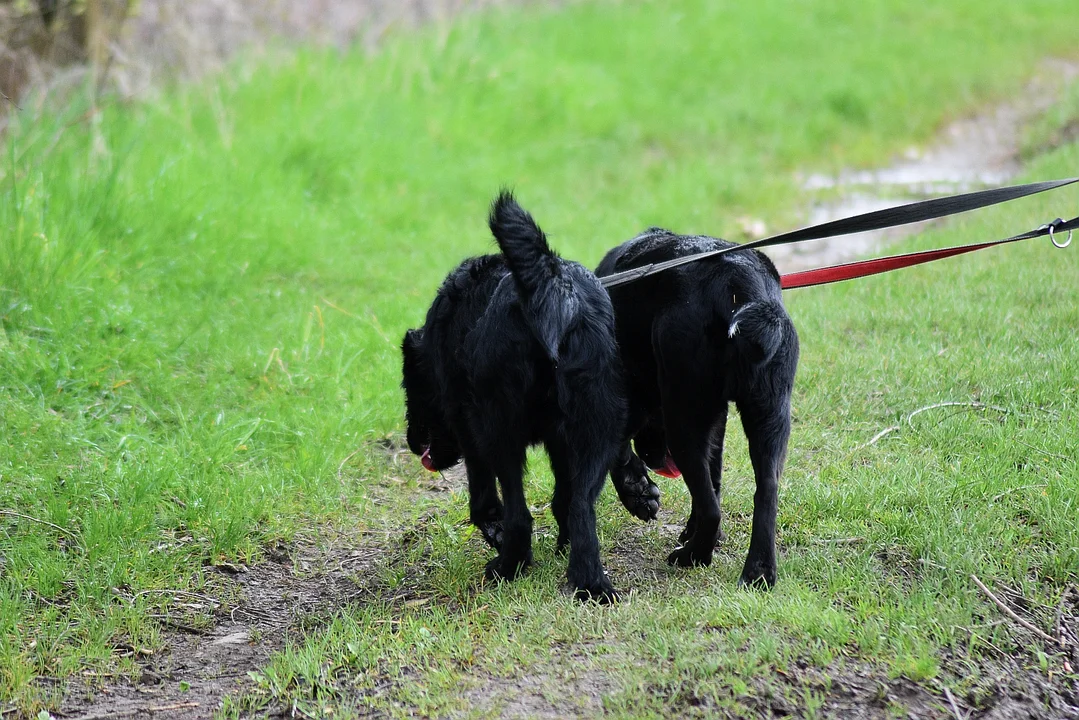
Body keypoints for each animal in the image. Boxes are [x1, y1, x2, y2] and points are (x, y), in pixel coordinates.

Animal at [403, 191, 630, 604]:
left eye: (409, 387)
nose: (412, 442)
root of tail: (547, 282)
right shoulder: (561, 441)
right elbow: (564, 498)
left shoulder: (469, 429)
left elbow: (483, 500)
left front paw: (494, 531)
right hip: (598, 428)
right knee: (580, 507)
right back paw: (590, 582)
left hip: (500, 432)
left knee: (520, 514)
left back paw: (510, 565)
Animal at [595, 227, 798, 587]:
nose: (652, 458)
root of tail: (739, 281)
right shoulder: (716, 421)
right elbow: (714, 477)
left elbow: (618, 450)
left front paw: (638, 492)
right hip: (768, 414)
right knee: (765, 491)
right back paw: (758, 572)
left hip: (683, 419)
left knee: (711, 508)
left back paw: (693, 556)